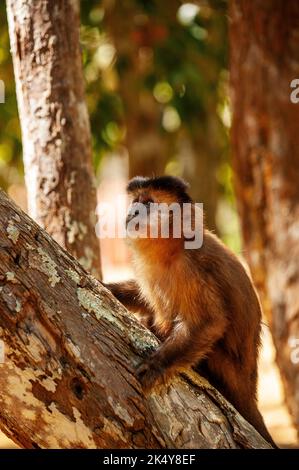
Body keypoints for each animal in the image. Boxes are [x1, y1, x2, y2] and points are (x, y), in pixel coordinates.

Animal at [103, 174, 276, 446]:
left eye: (148, 203)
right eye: (135, 201)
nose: (132, 212)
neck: (173, 246)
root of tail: (249, 391)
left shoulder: (192, 266)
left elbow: (211, 322)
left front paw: (156, 366)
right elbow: (144, 298)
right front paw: (106, 287)